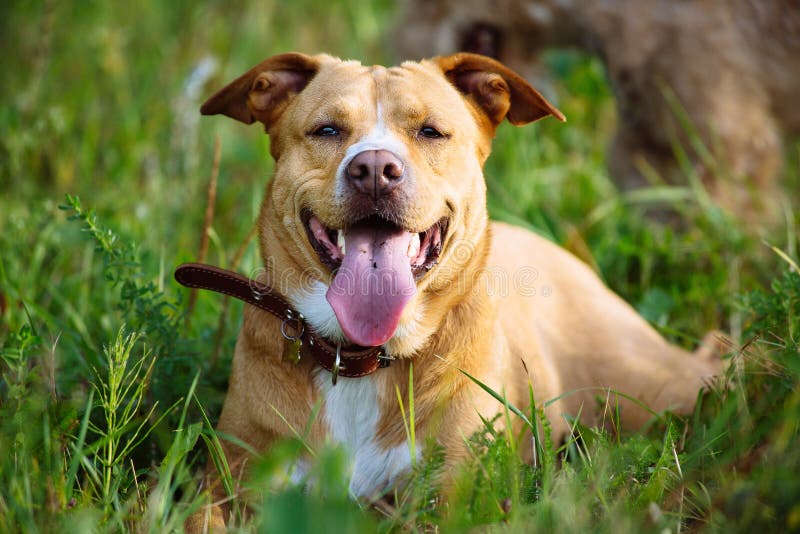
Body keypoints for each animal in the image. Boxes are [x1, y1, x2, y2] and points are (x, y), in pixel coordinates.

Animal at [184, 52, 720, 528]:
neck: (361, 359)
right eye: (327, 130)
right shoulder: (230, 485)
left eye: (430, 132)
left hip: (642, 384)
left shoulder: (456, 494)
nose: (374, 169)